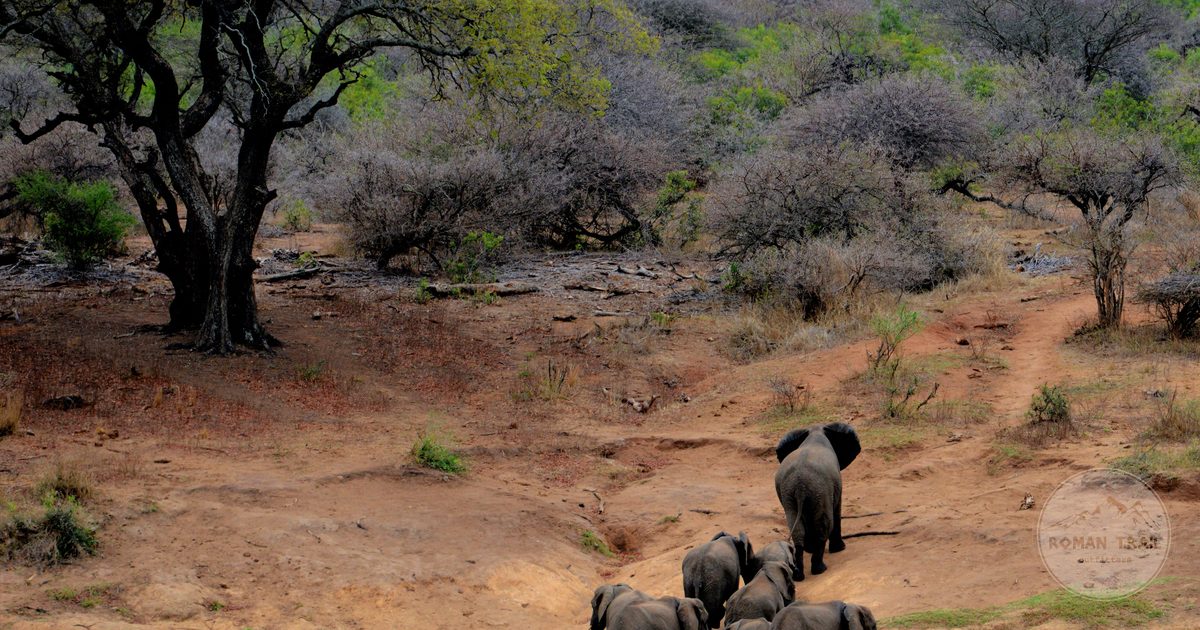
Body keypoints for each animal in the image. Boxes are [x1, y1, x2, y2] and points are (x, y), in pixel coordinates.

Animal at [774, 422, 861, 580]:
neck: (815, 431)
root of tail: (800, 485)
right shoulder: (836, 484)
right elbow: (836, 510)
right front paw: (840, 549)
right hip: (820, 490)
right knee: (824, 525)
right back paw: (820, 569)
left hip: (789, 493)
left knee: (797, 529)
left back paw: (799, 576)